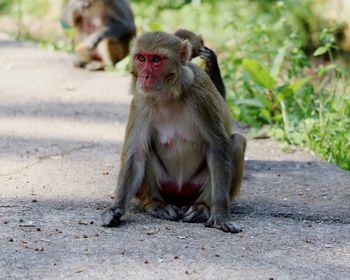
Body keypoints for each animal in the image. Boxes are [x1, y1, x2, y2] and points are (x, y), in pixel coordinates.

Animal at [101, 31, 246, 234]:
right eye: (141, 58)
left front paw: (220, 215)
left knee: (236, 143)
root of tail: (179, 196)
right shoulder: (140, 103)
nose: (144, 75)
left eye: (156, 59)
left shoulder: (200, 99)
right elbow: (136, 156)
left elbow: (218, 147)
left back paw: (202, 207)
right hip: (166, 186)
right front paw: (115, 208)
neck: (167, 96)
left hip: (193, 187)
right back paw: (154, 203)